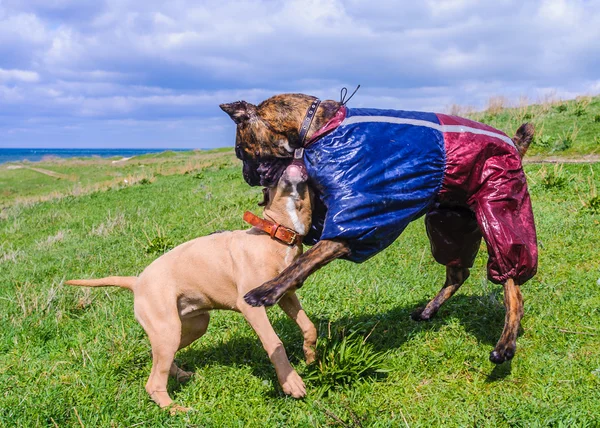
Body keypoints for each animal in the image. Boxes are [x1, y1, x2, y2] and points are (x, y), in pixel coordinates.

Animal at [66, 163, 316, 412]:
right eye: (272, 178)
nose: (292, 161)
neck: (276, 236)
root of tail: (137, 282)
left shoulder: (285, 295)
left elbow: (308, 326)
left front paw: (310, 356)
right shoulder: (250, 306)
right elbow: (275, 343)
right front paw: (291, 382)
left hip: (191, 326)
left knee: (159, 359)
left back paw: (180, 375)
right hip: (168, 330)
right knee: (153, 382)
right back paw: (176, 410)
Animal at [220, 94, 536, 364]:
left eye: (240, 151)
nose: (248, 177)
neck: (320, 128)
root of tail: (513, 142)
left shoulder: (351, 223)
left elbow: (301, 263)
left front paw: (268, 291)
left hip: (500, 209)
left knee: (513, 287)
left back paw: (505, 344)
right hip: (449, 225)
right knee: (458, 273)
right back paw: (429, 310)